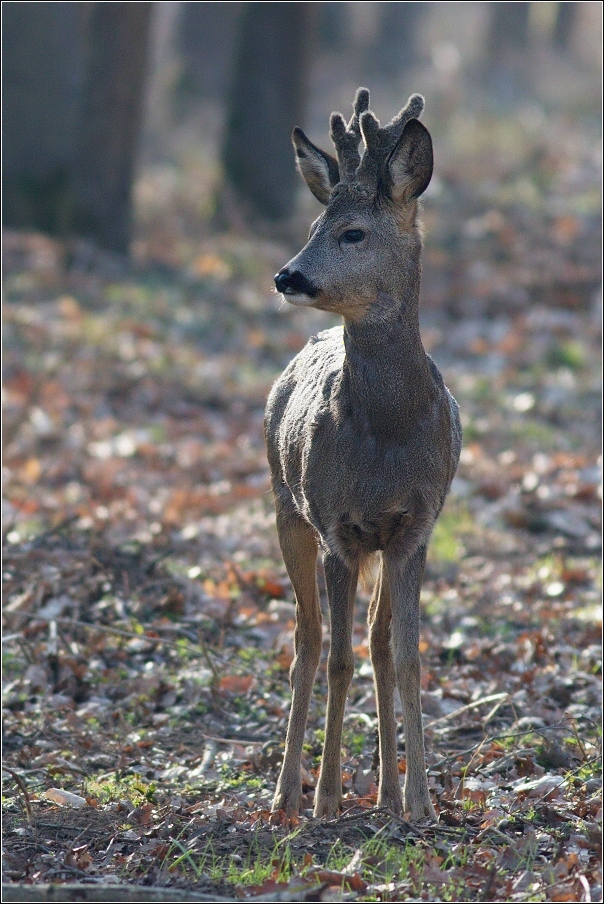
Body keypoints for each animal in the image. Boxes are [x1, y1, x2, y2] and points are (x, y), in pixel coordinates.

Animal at [266, 90, 462, 820]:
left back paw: (385, 796)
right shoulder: (335, 526)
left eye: (353, 232)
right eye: (315, 222)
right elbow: (338, 659)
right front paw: (325, 798)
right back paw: (286, 796)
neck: (388, 433)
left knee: (374, 641)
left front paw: (421, 802)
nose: (287, 275)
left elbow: (405, 657)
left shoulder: (415, 527)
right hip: (284, 506)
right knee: (308, 640)